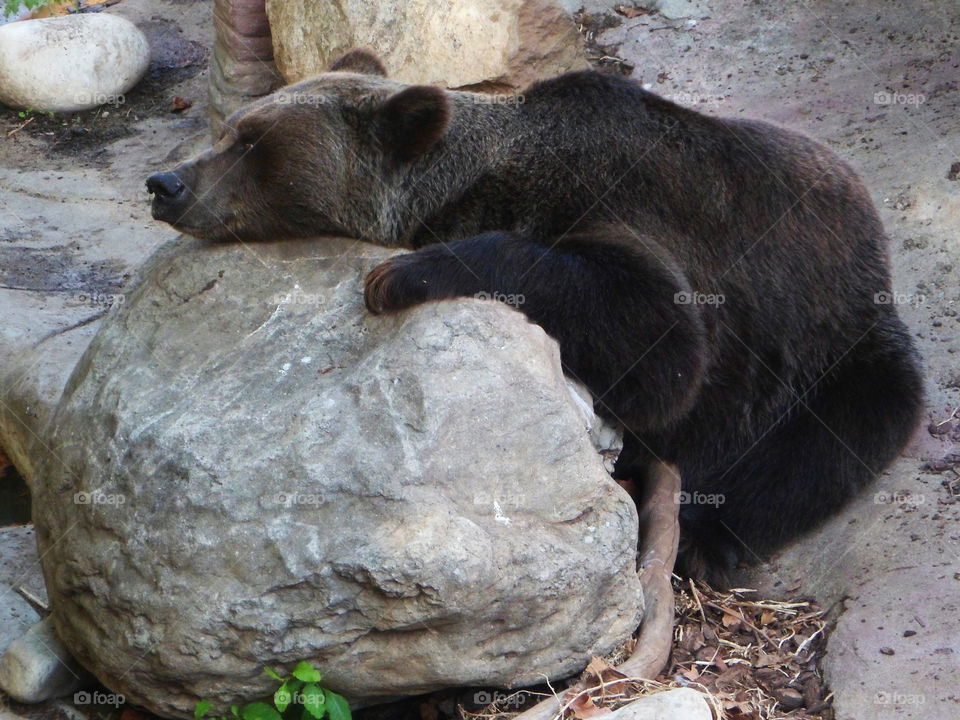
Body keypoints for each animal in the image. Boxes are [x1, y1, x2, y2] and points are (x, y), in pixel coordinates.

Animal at [147, 48, 924, 584]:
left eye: (252, 142)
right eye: (230, 129)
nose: (165, 182)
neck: (476, 184)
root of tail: (876, 251)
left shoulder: (625, 204)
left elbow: (662, 346)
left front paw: (397, 276)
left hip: (825, 346)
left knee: (819, 445)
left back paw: (705, 535)